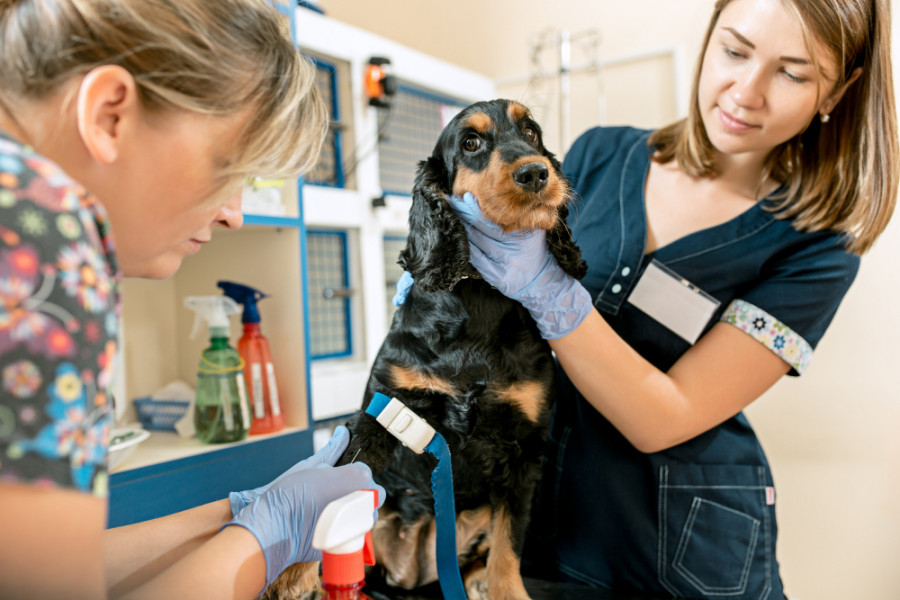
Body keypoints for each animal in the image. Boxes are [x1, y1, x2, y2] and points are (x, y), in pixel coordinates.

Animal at [262, 99, 584, 600]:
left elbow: (509, 544)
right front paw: (290, 570)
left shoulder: (527, 448)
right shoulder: (383, 409)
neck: (478, 296)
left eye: (532, 132)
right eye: (471, 142)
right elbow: (336, 479)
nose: (536, 173)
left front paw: (506, 589)